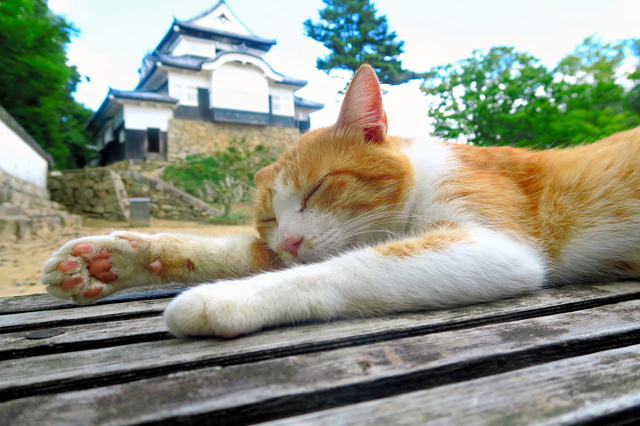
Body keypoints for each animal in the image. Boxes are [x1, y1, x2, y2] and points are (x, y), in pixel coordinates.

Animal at [41, 65, 640, 338]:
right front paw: (111, 259)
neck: (419, 180)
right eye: (268, 217)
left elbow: (338, 269)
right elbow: (226, 251)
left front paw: (224, 299)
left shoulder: (492, 244)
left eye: (316, 188)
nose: (289, 238)